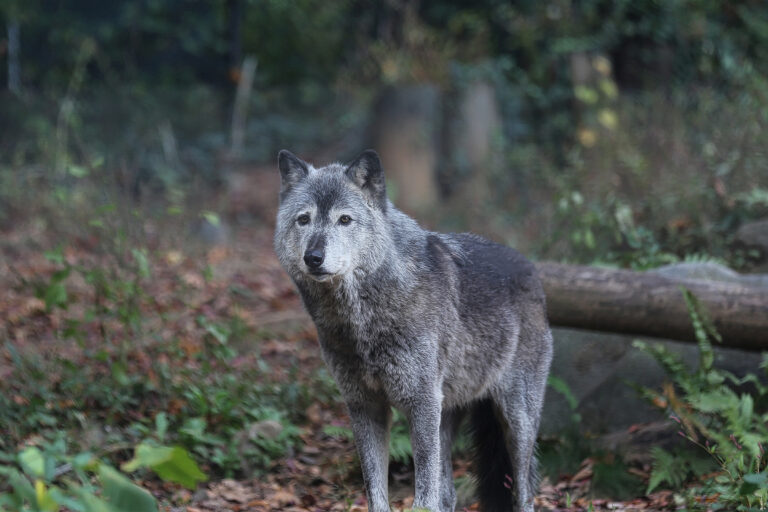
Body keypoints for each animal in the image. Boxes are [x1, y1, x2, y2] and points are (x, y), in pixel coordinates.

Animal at [274, 149, 552, 512]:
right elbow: (376, 491)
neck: (363, 323)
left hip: (516, 421)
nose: (314, 257)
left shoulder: (420, 403)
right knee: (449, 495)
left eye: (345, 220)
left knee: (523, 491)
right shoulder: (365, 406)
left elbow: (424, 495)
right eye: (303, 220)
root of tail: (531, 269)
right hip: (448, 416)